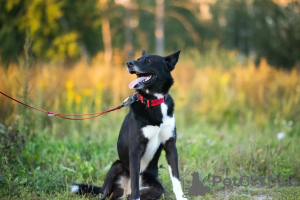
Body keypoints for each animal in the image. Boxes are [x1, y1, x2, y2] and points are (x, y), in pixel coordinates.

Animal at [72, 50, 185, 200]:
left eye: (149, 60)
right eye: (138, 58)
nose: (129, 63)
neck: (153, 101)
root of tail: (125, 191)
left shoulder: (170, 146)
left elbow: (176, 178)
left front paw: (182, 197)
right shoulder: (135, 149)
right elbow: (135, 183)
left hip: (156, 189)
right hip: (116, 166)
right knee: (107, 194)